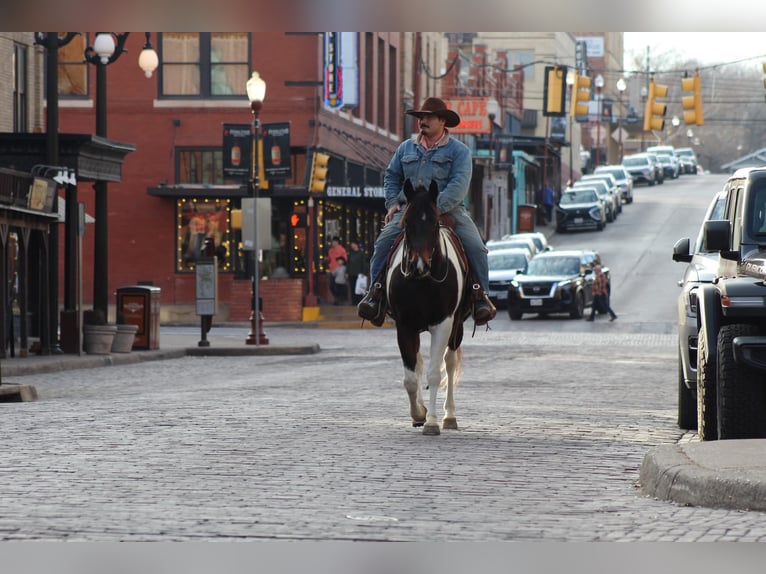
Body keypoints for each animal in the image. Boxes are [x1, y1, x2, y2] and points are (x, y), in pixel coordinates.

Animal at [388, 180, 472, 436]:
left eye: (434, 223)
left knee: (449, 363)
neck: (422, 282)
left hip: (457, 328)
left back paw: (449, 416)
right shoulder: (404, 325)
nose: (419, 265)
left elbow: (435, 373)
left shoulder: (443, 324)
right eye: (406, 222)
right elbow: (410, 377)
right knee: (418, 364)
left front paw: (432, 422)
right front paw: (418, 414)